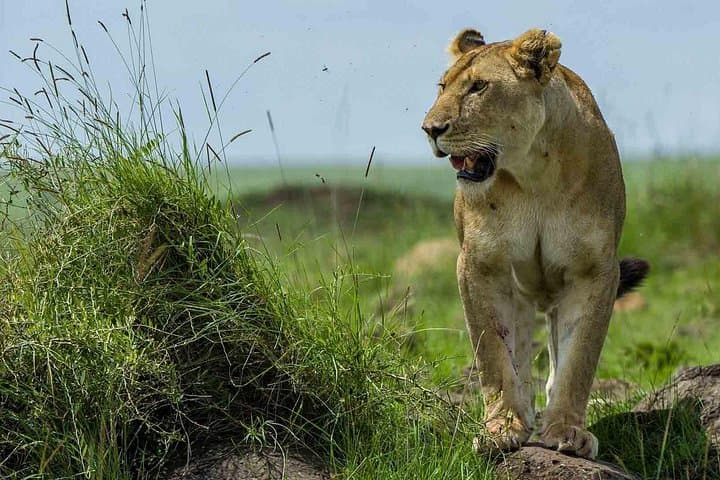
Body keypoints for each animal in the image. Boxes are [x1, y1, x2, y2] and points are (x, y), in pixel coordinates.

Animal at [421, 28, 649, 459]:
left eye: (478, 87)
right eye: (442, 87)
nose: (430, 129)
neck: (533, 175)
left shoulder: (594, 270)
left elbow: (579, 358)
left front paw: (567, 432)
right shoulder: (480, 265)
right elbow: (494, 356)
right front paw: (501, 429)